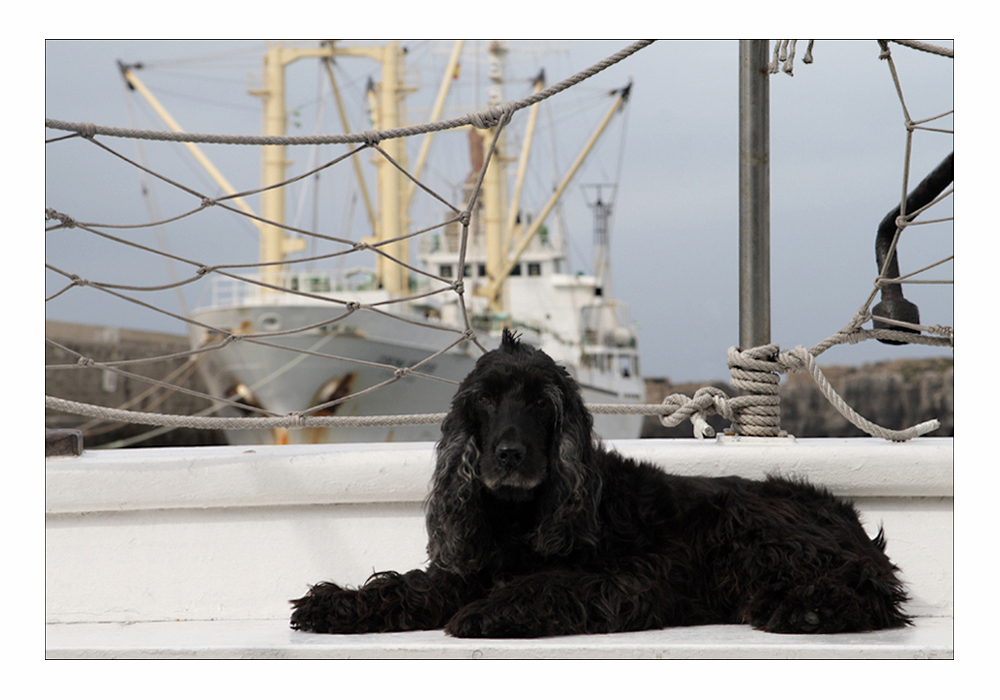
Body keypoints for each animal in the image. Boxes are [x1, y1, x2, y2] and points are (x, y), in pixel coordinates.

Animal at [288, 330, 908, 636]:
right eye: (484, 401)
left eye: (542, 403)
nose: (509, 454)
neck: (520, 515)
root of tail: (850, 523)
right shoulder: (465, 570)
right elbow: (406, 586)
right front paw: (334, 604)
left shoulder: (632, 579)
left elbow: (548, 584)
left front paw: (487, 613)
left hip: (751, 526)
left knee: (869, 590)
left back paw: (807, 610)